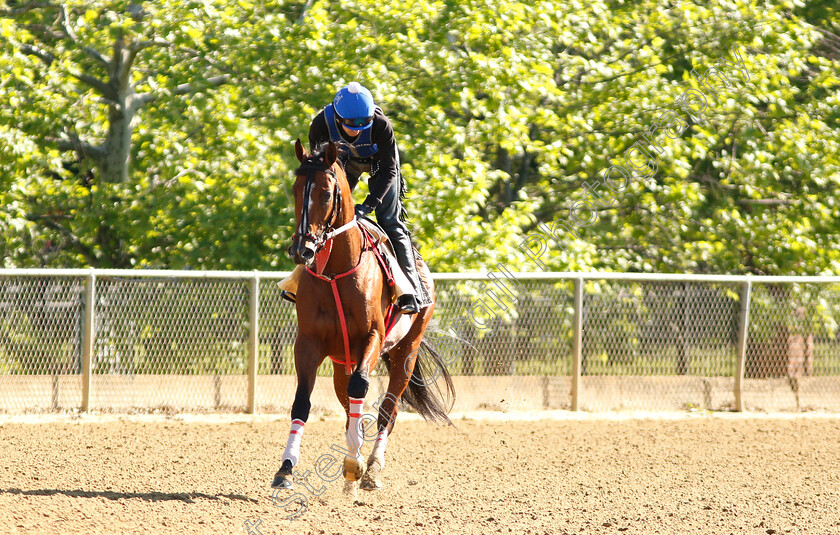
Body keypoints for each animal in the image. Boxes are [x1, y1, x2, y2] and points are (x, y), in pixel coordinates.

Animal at [270, 139, 452, 494]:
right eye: (297, 189)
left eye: (327, 193)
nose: (302, 250)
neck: (336, 271)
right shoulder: (309, 343)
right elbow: (302, 403)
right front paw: (285, 468)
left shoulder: (373, 337)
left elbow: (362, 388)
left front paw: (356, 463)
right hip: (343, 360)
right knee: (348, 404)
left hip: (405, 353)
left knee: (387, 411)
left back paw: (371, 469)